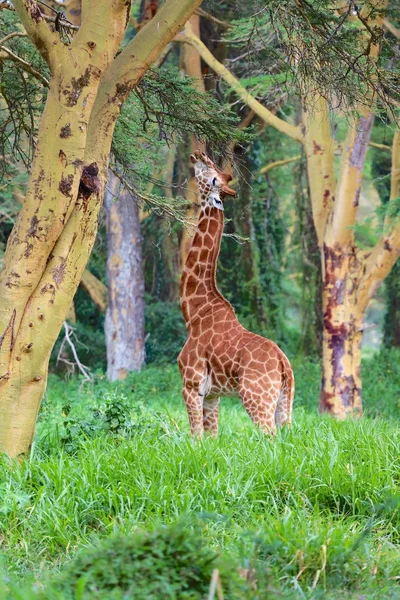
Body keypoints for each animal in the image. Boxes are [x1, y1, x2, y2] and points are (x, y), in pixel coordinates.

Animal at [178, 151, 294, 436]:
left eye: (209, 172)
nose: (197, 153)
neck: (194, 311)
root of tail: (284, 364)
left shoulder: (191, 386)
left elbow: (194, 437)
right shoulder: (212, 395)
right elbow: (210, 437)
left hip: (256, 397)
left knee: (270, 437)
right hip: (284, 403)